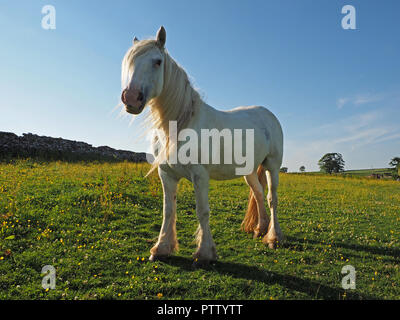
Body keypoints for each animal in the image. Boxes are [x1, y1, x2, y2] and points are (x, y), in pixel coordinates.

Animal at [120, 26, 282, 262]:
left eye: (157, 61)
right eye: (129, 63)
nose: (131, 98)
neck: (181, 123)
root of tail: (267, 114)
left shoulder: (200, 175)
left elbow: (202, 211)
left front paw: (205, 252)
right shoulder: (166, 174)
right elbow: (168, 210)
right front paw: (161, 248)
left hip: (272, 166)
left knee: (271, 198)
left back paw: (273, 238)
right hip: (249, 172)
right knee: (259, 194)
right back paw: (259, 230)